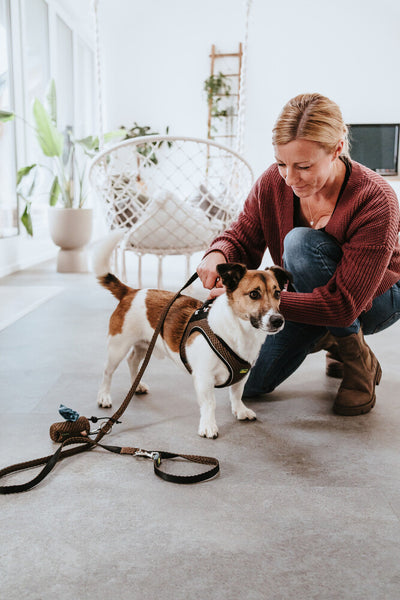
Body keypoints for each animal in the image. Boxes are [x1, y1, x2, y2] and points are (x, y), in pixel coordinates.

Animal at [94, 232, 290, 438]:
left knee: (133, 361)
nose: (278, 320)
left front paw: (240, 410)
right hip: (118, 346)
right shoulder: (204, 378)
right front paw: (208, 425)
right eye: (254, 294)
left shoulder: (242, 376)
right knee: (108, 372)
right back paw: (104, 396)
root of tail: (131, 292)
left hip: (144, 344)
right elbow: (210, 403)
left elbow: (236, 393)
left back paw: (136, 385)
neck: (240, 331)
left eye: (278, 293)